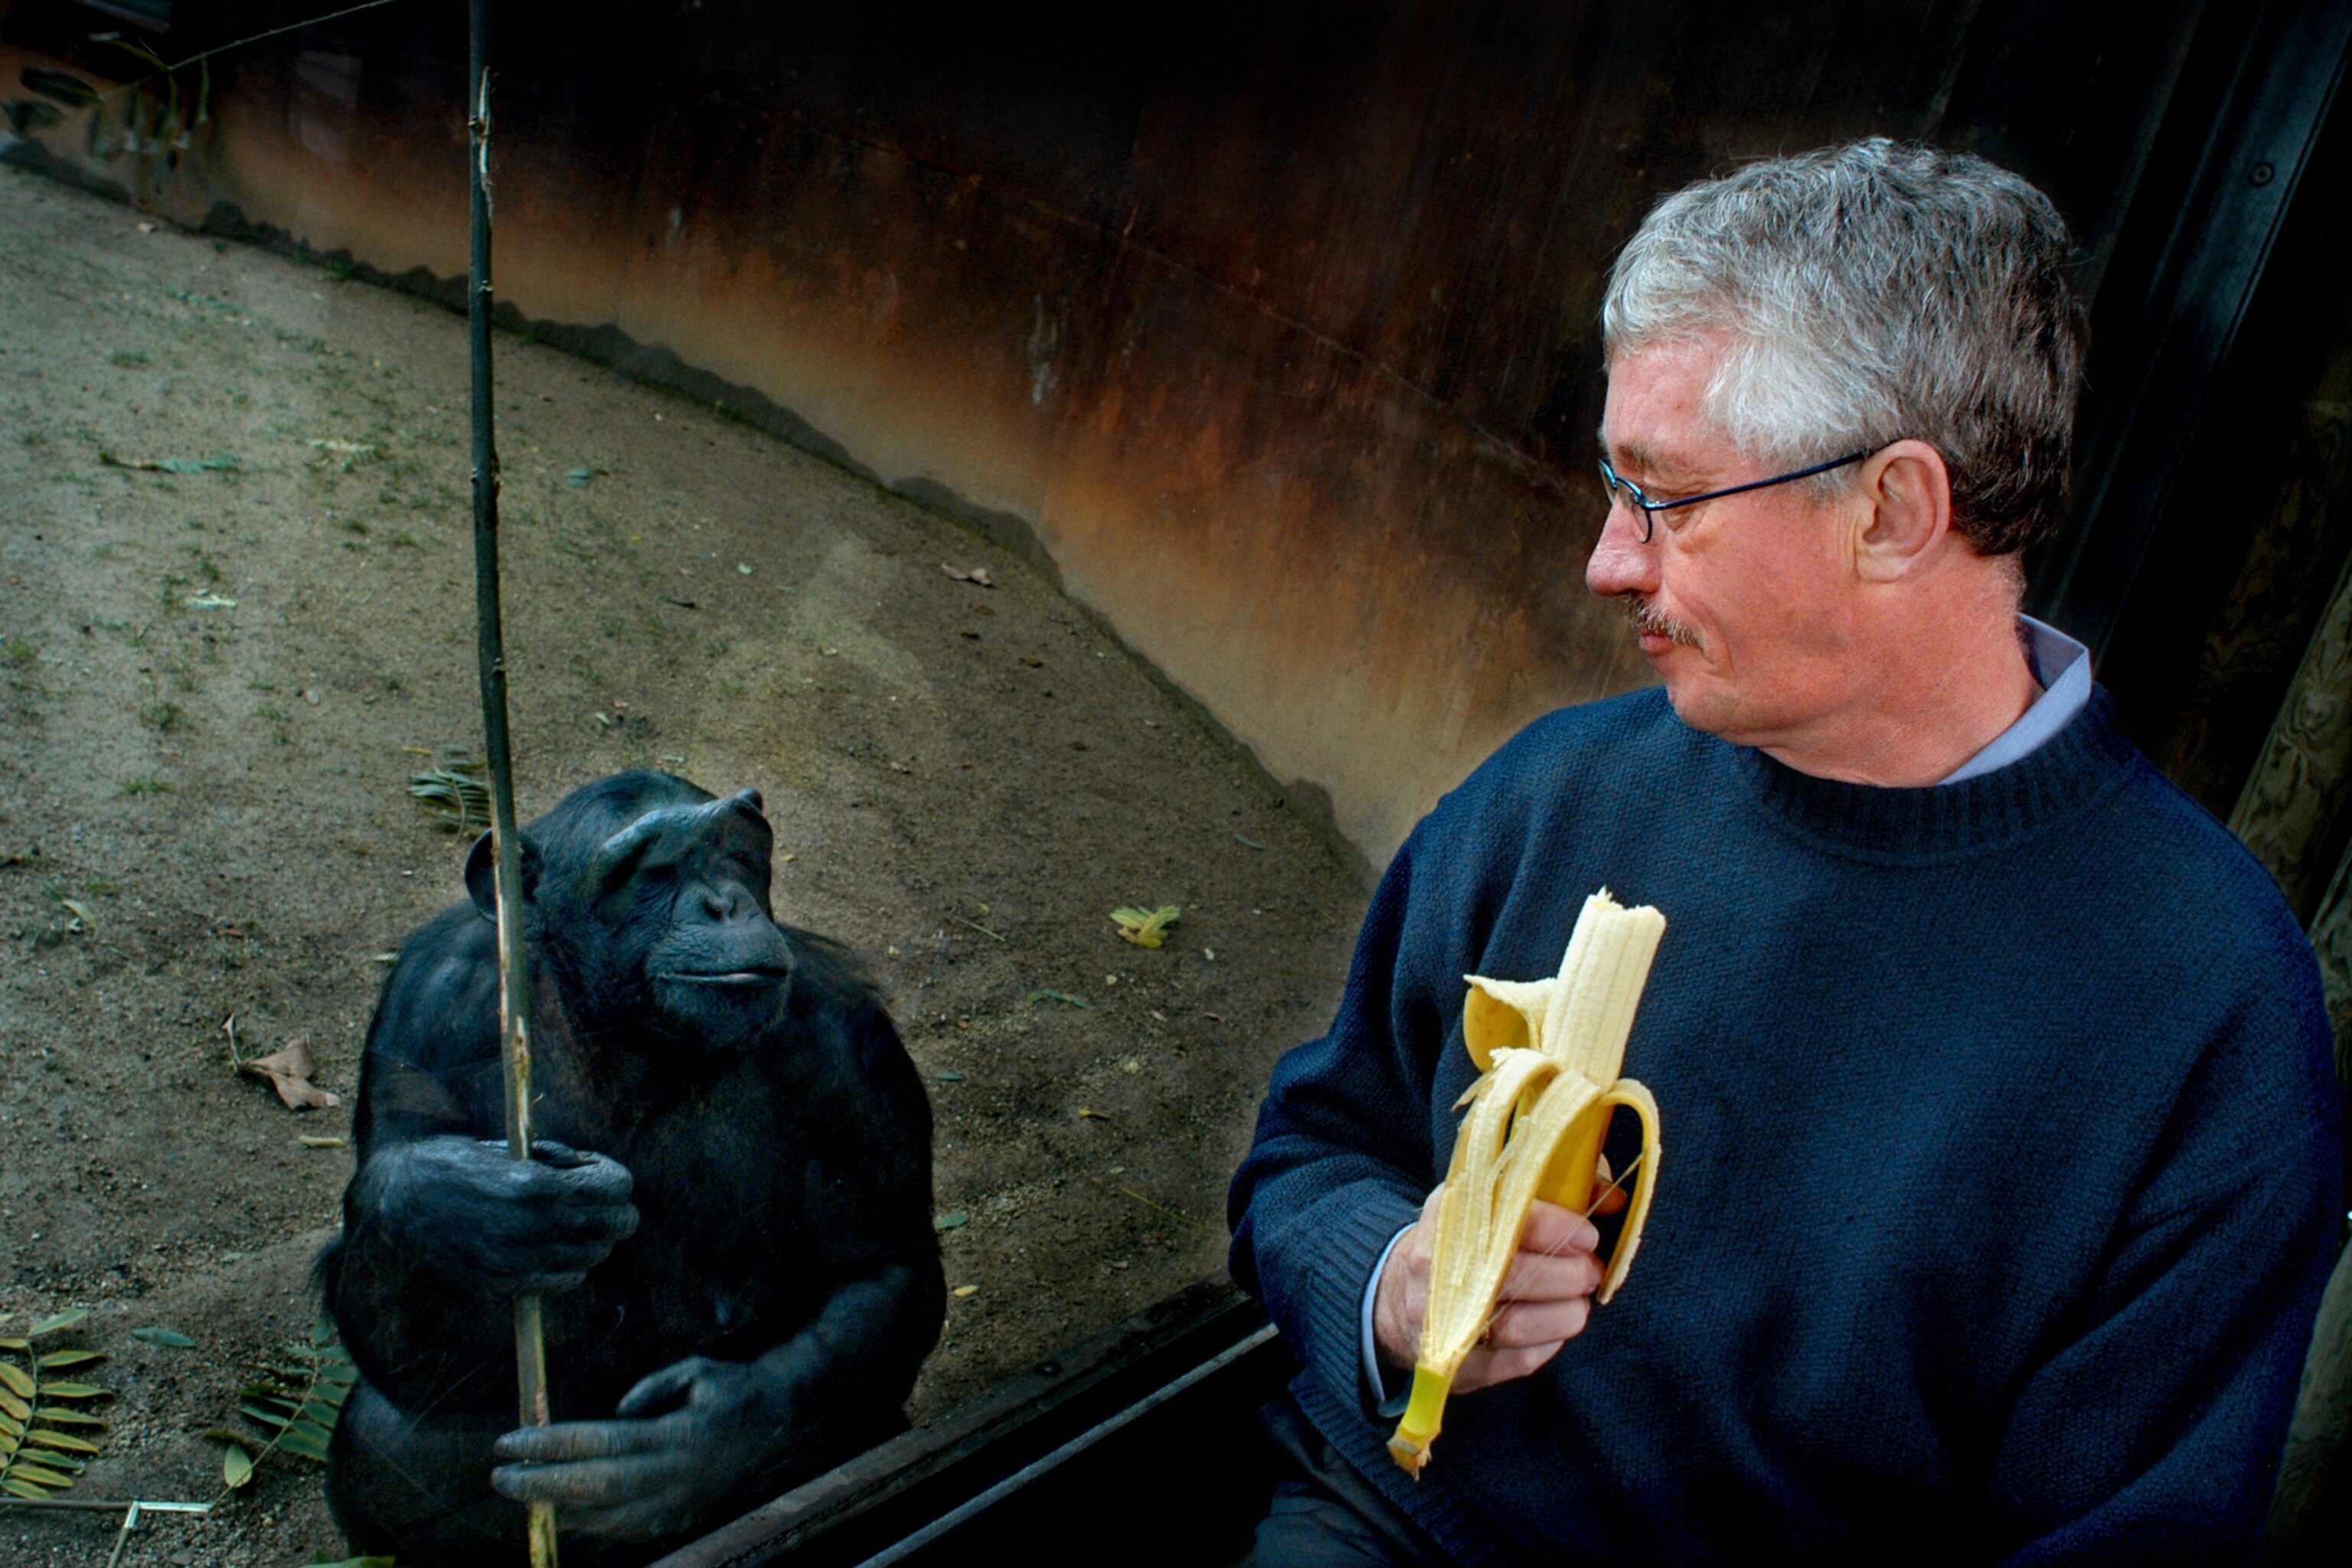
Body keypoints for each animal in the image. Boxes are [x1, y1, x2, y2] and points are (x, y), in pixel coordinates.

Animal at [322, 771, 945, 1560]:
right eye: (654, 871)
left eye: (738, 854)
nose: (724, 902)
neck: (626, 1027)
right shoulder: (427, 1002)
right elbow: (404, 1357)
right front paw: (465, 1209)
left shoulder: (844, 1038)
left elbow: (884, 1269)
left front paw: (690, 1449)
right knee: (382, 1446)